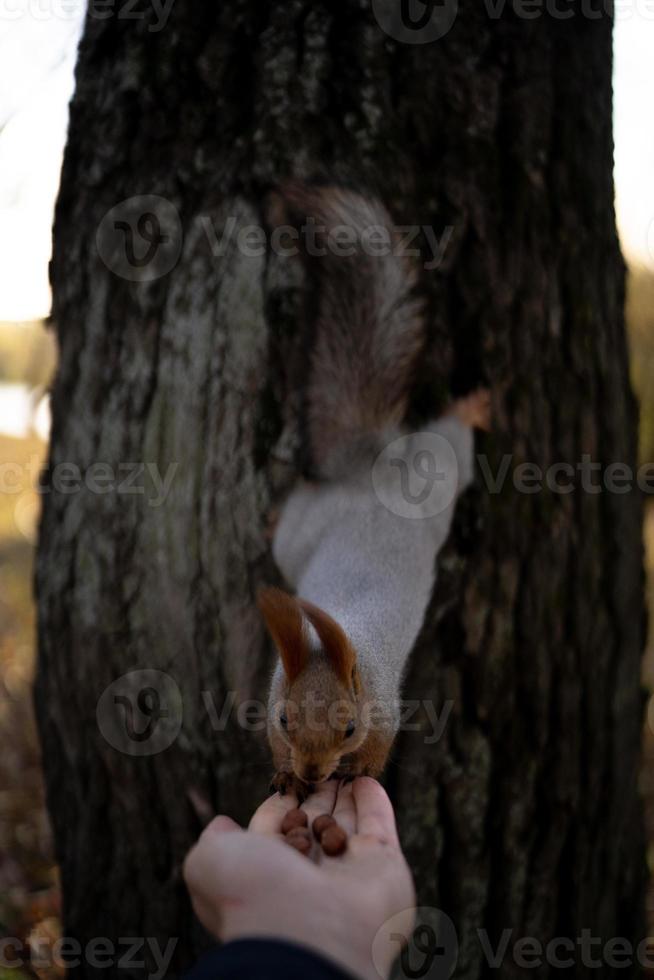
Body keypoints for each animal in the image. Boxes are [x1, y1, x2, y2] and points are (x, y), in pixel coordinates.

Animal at [258, 180, 490, 800]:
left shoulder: (385, 706)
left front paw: (358, 771)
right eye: (286, 719)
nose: (314, 774)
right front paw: (284, 773)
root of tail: (375, 469)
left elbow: (381, 749)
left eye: (348, 728)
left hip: (438, 473)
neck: (334, 632)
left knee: (454, 438)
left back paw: (473, 407)